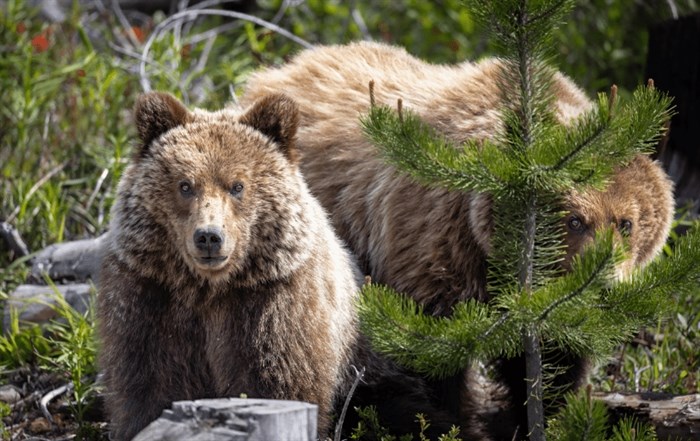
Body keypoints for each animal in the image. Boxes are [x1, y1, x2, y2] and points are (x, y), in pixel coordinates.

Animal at [95, 91, 364, 438]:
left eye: (237, 185)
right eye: (185, 185)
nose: (209, 236)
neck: (209, 288)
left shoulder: (274, 309)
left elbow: (278, 382)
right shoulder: (149, 302)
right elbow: (147, 384)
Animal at [239, 40, 672, 436]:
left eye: (626, 222)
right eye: (574, 220)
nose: (603, 287)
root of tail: (282, 68)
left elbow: (555, 360)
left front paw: (542, 418)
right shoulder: (434, 245)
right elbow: (432, 355)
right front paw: (452, 422)